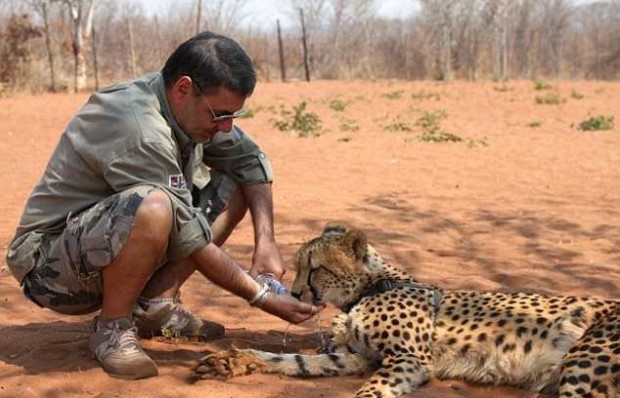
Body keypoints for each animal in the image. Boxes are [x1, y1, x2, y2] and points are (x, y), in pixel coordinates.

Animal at [194, 224, 620, 398]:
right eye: (297, 267)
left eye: (315, 268)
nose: (297, 291)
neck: (367, 288)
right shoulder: (356, 357)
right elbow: (290, 361)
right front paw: (231, 361)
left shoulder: (409, 358)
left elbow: (370, 391)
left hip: (584, 359)